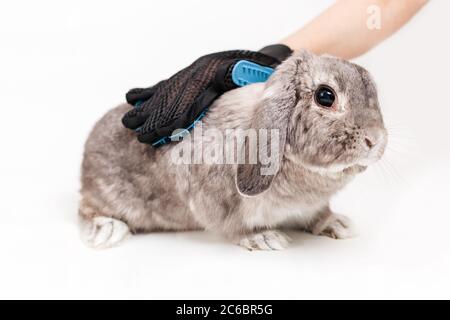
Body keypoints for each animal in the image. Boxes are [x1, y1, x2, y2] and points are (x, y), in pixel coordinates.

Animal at [78, 50, 386, 250]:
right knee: (86, 208)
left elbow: (319, 214)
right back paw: (107, 230)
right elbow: (236, 227)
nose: (376, 139)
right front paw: (265, 238)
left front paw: (337, 224)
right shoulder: (217, 202)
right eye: (325, 96)